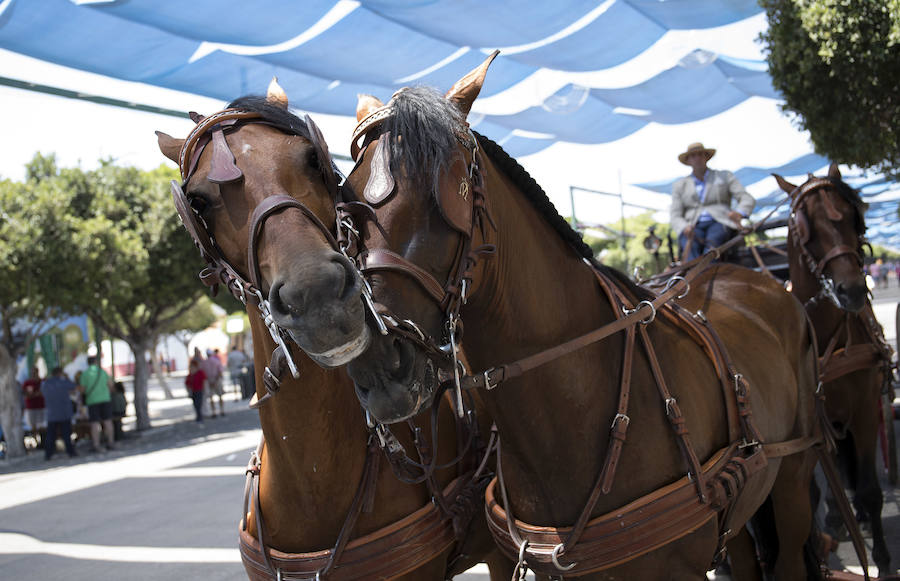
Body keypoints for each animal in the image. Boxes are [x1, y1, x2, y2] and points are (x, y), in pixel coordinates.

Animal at [772, 167, 892, 576]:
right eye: (802, 227)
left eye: (852, 217)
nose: (852, 290)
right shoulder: (810, 427)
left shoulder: (865, 408)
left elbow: (870, 489)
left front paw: (883, 561)